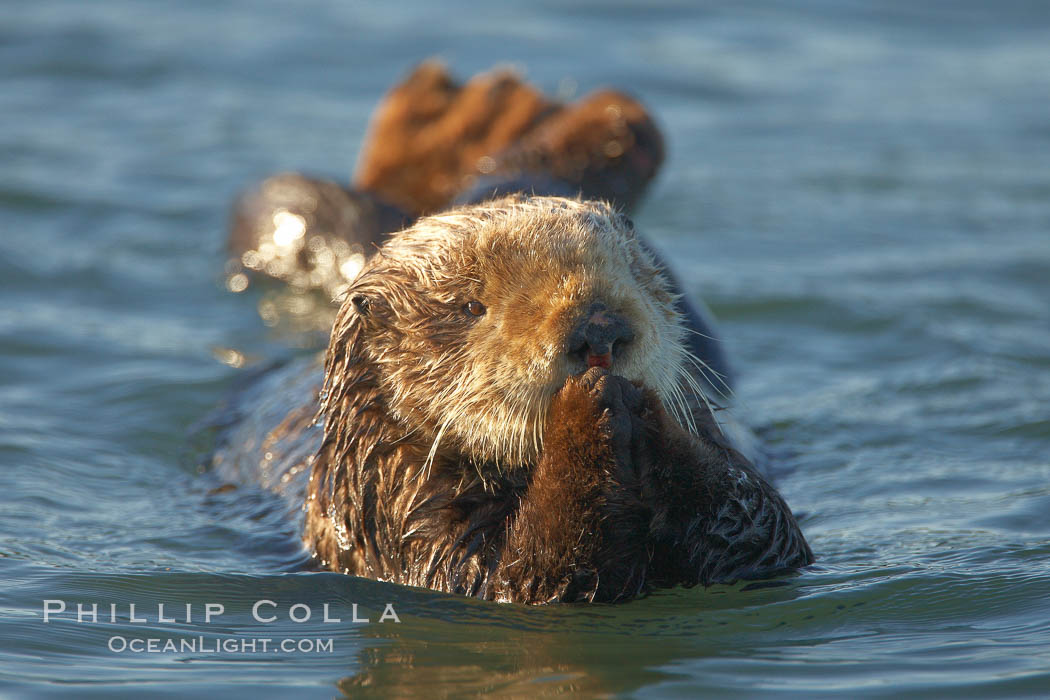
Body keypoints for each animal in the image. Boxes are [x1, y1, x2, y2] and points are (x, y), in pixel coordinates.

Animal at [211, 196, 810, 604]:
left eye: (636, 272)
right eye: (470, 306)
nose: (599, 328)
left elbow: (762, 530)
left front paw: (655, 412)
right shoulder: (410, 524)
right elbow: (525, 580)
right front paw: (587, 409)